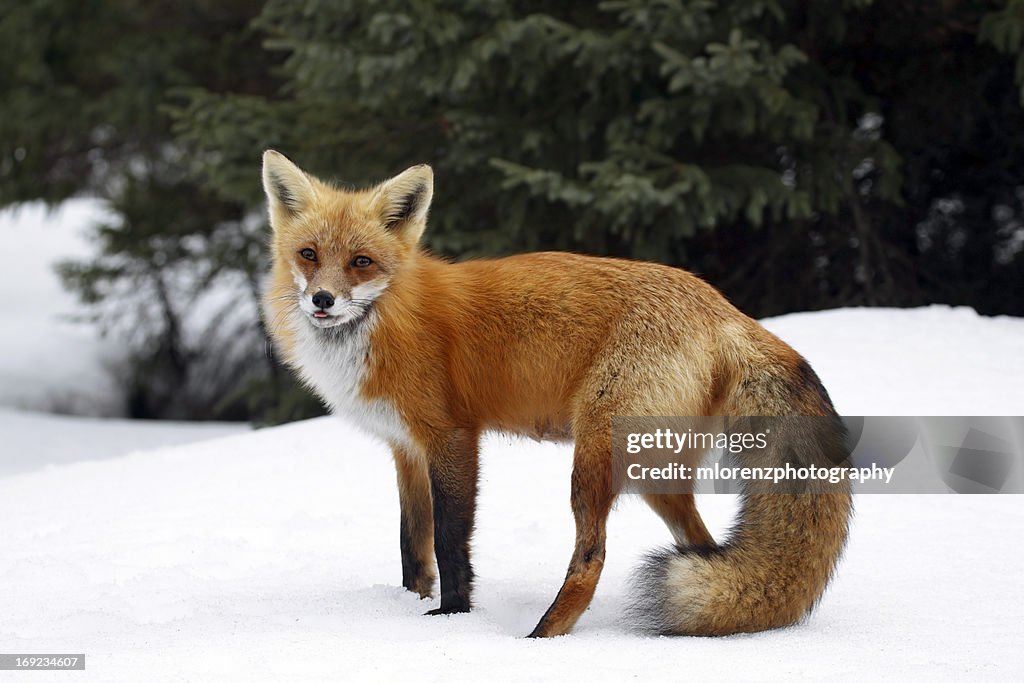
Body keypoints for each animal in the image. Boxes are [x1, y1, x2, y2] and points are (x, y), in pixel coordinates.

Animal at [260, 150, 853, 638]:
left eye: (361, 262)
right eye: (309, 254)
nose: (322, 300)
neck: (388, 318)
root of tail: (725, 310)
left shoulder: (452, 438)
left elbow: (450, 540)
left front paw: (452, 615)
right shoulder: (405, 447)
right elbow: (412, 543)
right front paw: (408, 604)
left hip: (593, 459)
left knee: (593, 556)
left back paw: (541, 637)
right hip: (655, 478)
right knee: (704, 546)